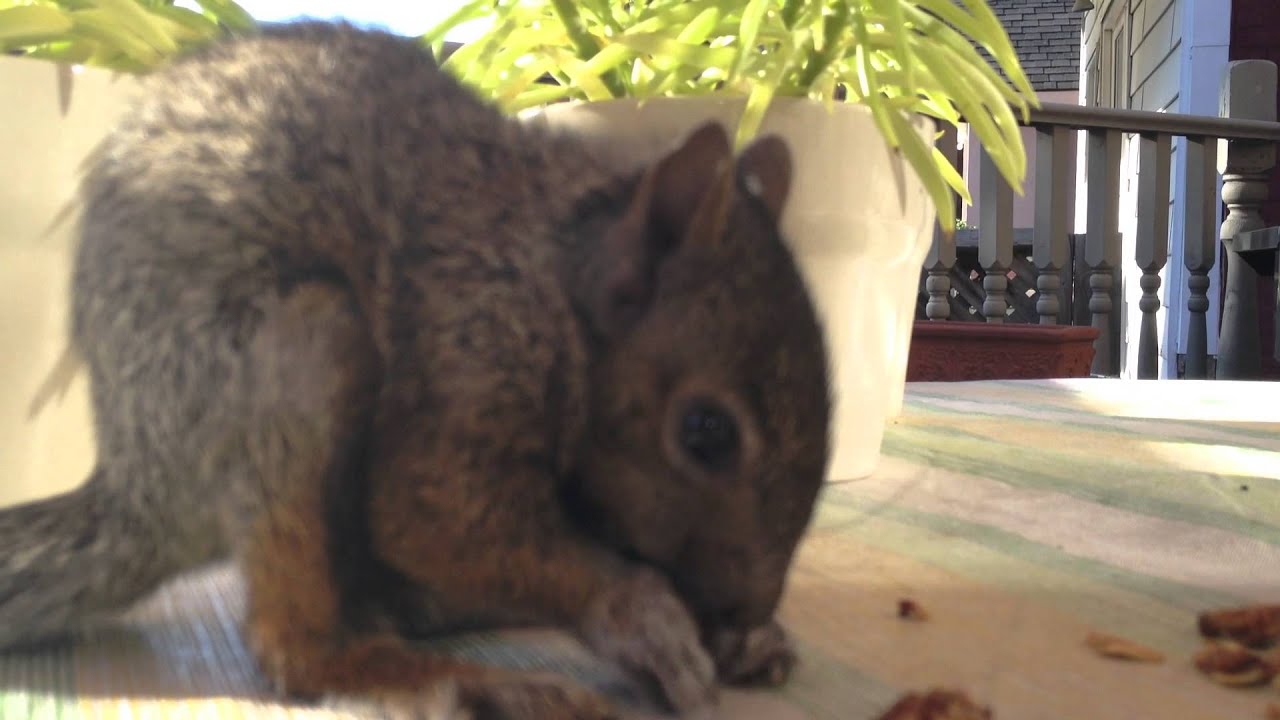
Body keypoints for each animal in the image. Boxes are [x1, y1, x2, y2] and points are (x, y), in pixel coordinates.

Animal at [0, 20, 833, 720]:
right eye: (705, 432)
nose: (748, 608)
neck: (555, 282)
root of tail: (139, 479)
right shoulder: (468, 356)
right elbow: (437, 521)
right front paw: (644, 616)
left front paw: (741, 641)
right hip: (291, 357)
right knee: (295, 647)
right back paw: (460, 678)